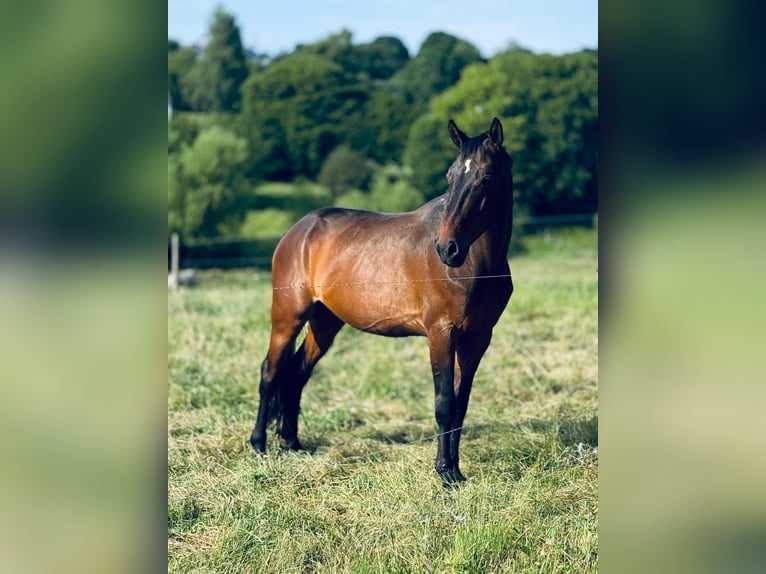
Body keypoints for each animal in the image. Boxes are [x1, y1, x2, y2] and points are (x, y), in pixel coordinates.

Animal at [250, 118, 514, 486]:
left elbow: (461, 405)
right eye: (450, 176)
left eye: (486, 177)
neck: (474, 266)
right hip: (288, 317)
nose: (447, 248)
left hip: (325, 322)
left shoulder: (477, 339)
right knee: (270, 372)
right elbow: (445, 403)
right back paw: (259, 445)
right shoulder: (440, 334)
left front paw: (456, 470)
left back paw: (292, 443)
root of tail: (298, 231)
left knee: (297, 373)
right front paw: (444, 472)